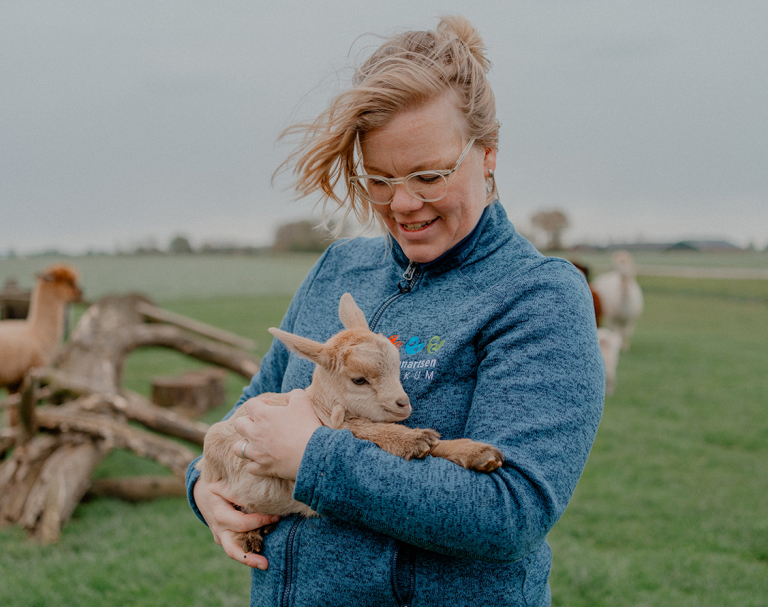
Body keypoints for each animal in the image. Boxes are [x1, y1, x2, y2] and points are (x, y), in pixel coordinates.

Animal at [198, 292, 504, 552]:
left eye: (397, 365)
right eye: (359, 380)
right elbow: (374, 432)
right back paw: (249, 536)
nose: (403, 403)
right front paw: (414, 440)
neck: (321, 408)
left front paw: (479, 454)